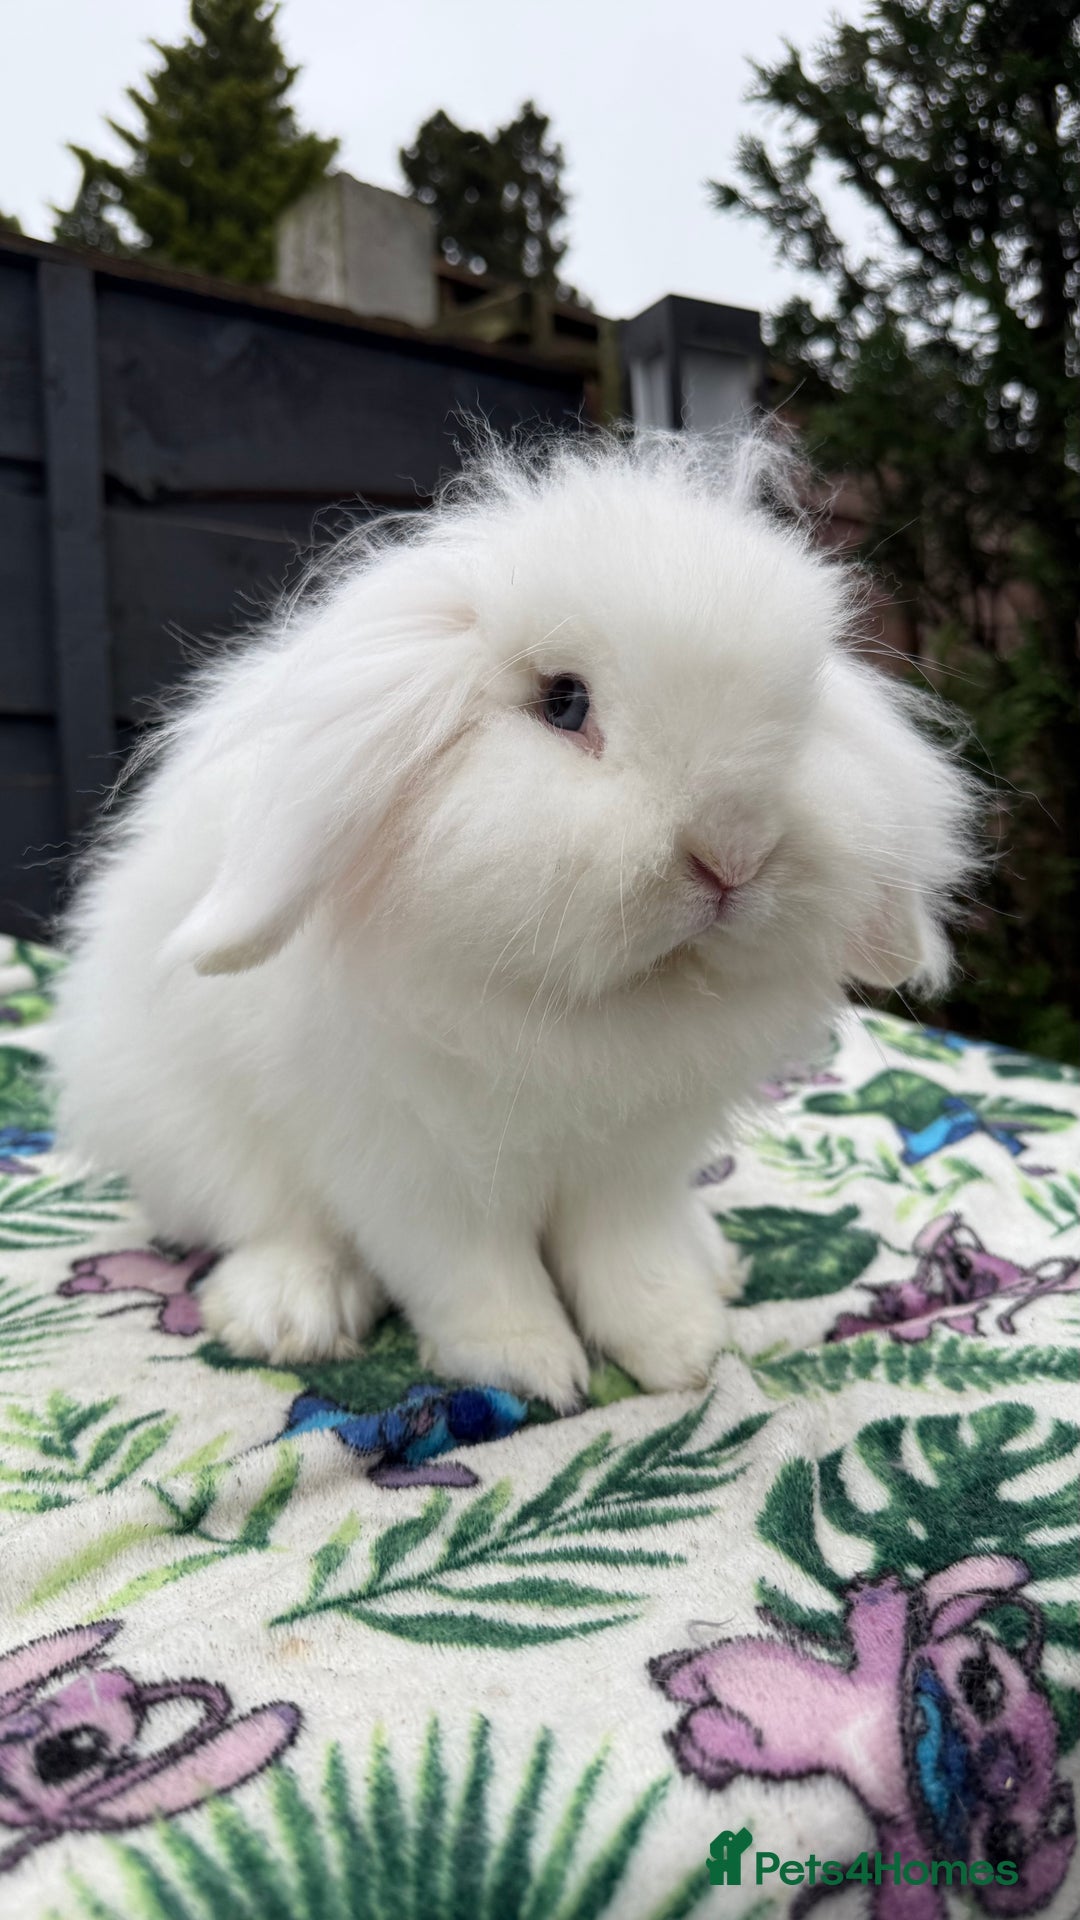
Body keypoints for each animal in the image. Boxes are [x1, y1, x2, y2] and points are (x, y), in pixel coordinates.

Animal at [51, 430, 979, 1409]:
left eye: (800, 710)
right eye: (563, 702)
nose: (733, 852)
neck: (589, 1009)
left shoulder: (634, 1170)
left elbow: (631, 1263)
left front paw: (683, 1350)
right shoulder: (414, 1171)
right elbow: (474, 1277)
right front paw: (531, 1371)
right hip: (186, 1130)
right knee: (266, 1220)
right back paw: (287, 1315)